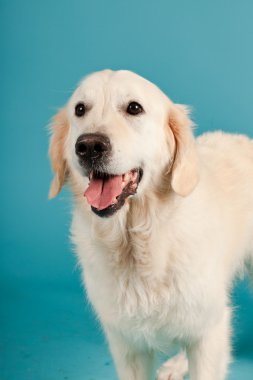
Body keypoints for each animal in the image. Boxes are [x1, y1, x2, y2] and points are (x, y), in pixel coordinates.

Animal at [49, 70, 253, 378]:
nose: (89, 146)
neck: (138, 240)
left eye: (134, 108)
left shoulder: (209, 330)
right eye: (80, 109)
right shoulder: (127, 345)